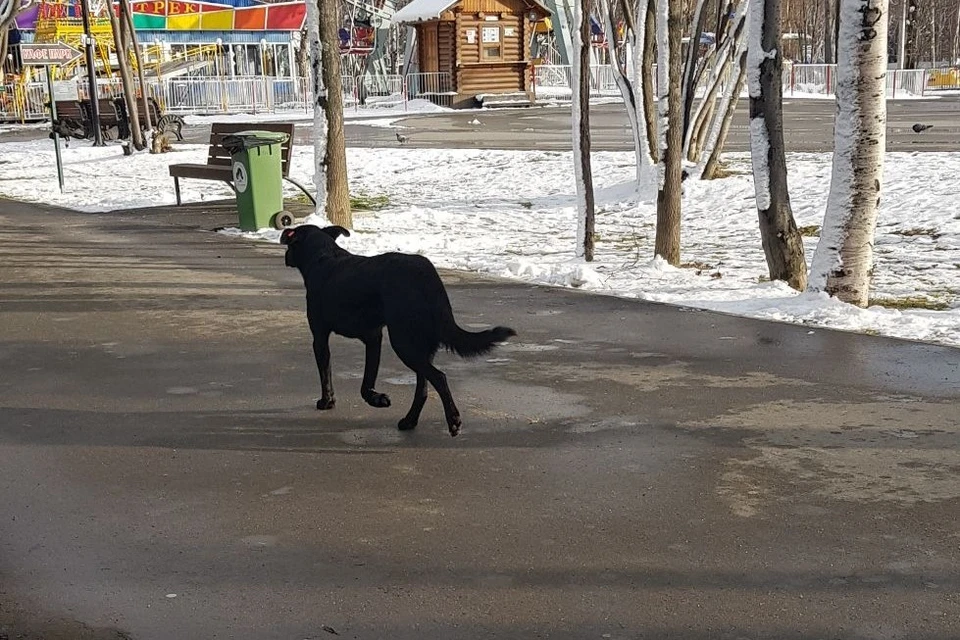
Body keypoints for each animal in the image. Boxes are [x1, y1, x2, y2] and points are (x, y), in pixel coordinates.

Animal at [282, 222, 512, 438]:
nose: (285, 256)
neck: (323, 256)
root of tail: (427, 275)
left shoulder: (320, 338)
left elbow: (326, 373)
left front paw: (326, 401)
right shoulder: (373, 337)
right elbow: (367, 380)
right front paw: (376, 398)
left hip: (403, 343)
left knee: (439, 377)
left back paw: (453, 420)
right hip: (421, 344)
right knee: (423, 388)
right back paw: (410, 421)